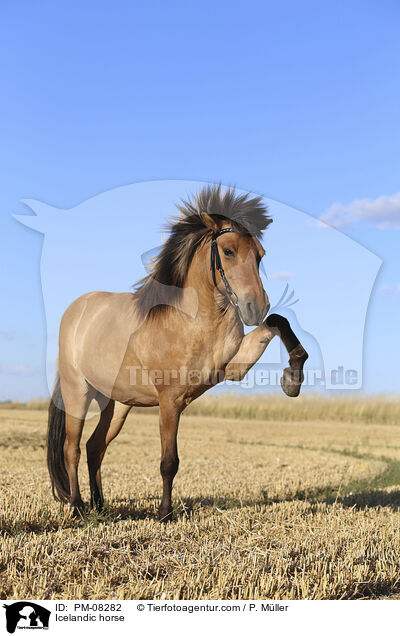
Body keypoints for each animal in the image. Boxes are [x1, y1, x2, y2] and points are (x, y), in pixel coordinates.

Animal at [47, 185, 310, 520]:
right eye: (228, 251)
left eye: (260, 256)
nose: (255, 306)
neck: (192, 322)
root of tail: (76, 311)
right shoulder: (170, 399)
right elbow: (169, 461)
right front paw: (164, 514)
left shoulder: (232, 368)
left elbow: (278, 321)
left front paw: (293, 379)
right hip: (77, 393)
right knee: (72, 448)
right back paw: (78, 507)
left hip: (117, 404)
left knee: (95, 447)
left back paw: (100, 505)